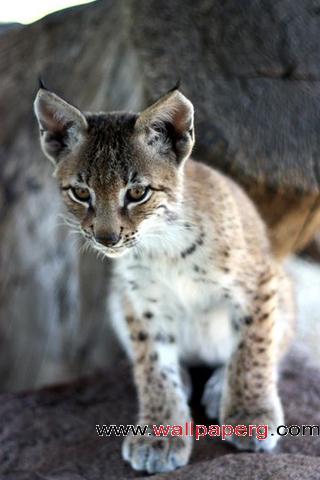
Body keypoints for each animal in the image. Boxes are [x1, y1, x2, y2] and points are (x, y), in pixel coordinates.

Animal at [34, 85, 296, 472]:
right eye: (81, 193)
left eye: (136, 193)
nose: (106, 239)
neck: (162, 245)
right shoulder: (140, 301)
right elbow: (153, 366)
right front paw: (159, 435)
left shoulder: (258, 281)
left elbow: (254, 348)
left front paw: (251, 414)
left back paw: (220, 386)